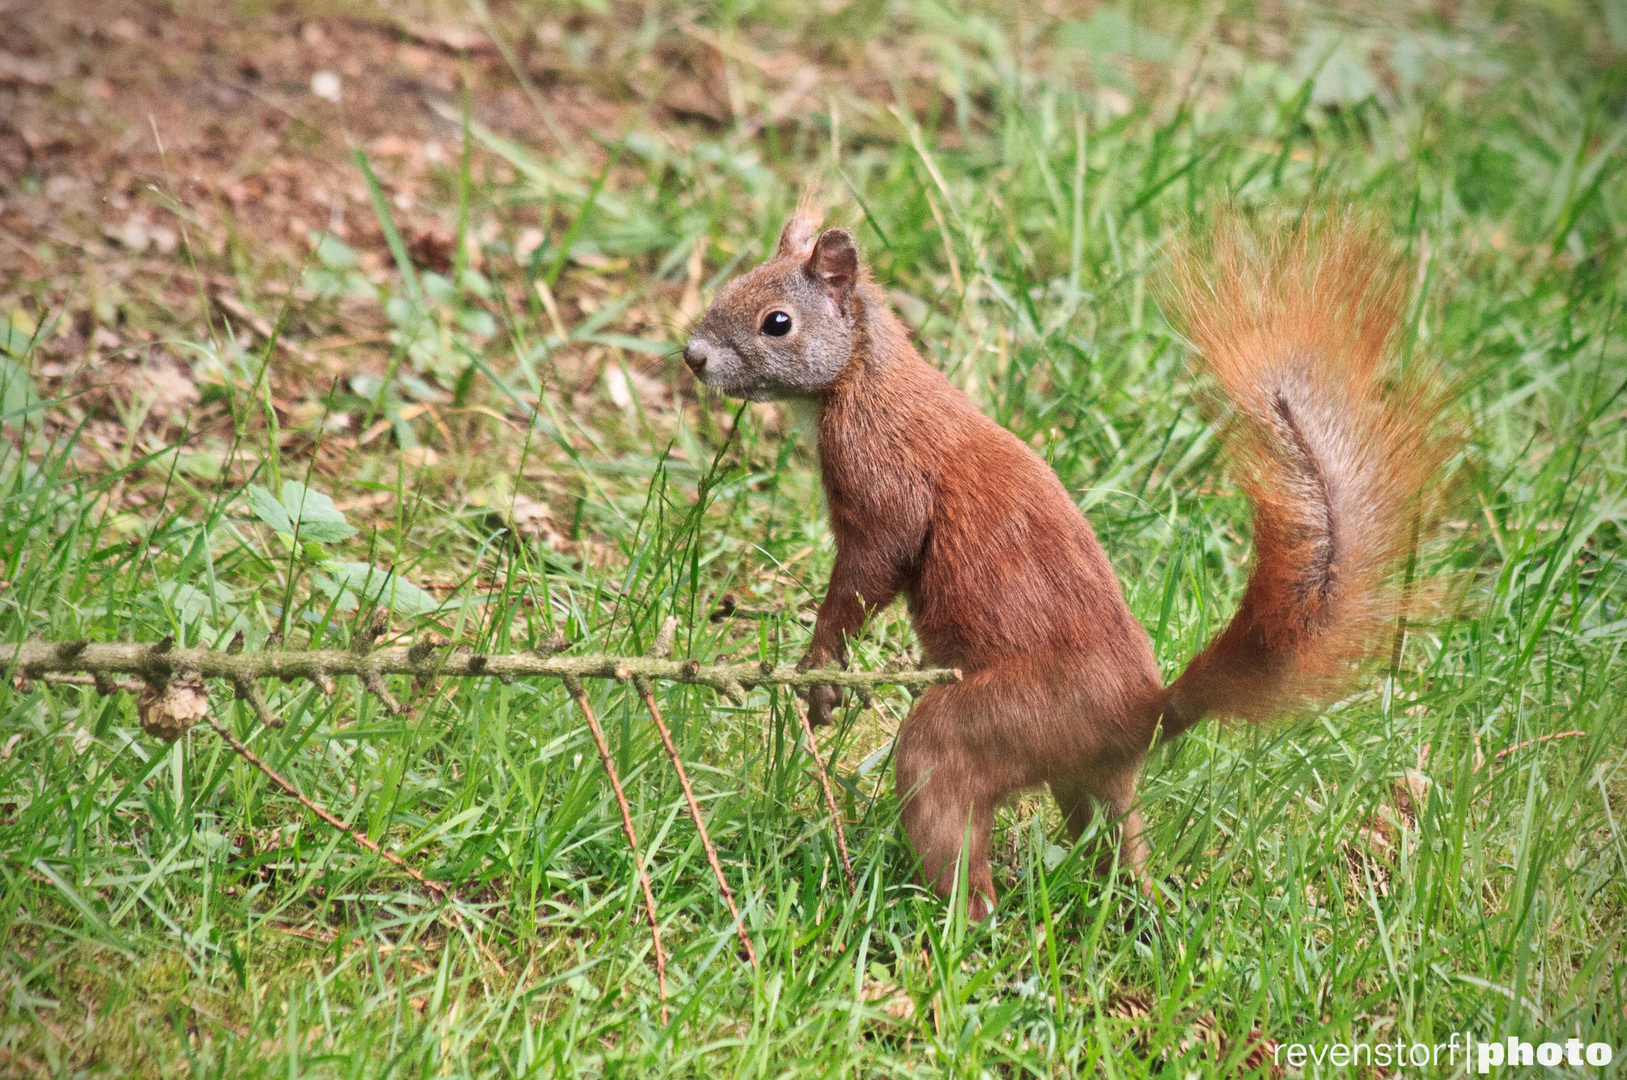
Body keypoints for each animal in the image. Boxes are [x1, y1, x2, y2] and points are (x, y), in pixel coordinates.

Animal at [680, 204, 1444, 917]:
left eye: (777, 322)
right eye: (730, 285)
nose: (692, 355)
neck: (865, 374)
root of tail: (1144, 714)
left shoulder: (882, 481)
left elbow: (869, 575)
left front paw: (819, 672)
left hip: (994, 725)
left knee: (951, 810)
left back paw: (954, 922)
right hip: (1087, 782)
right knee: (1113, 847)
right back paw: (1128, 906)